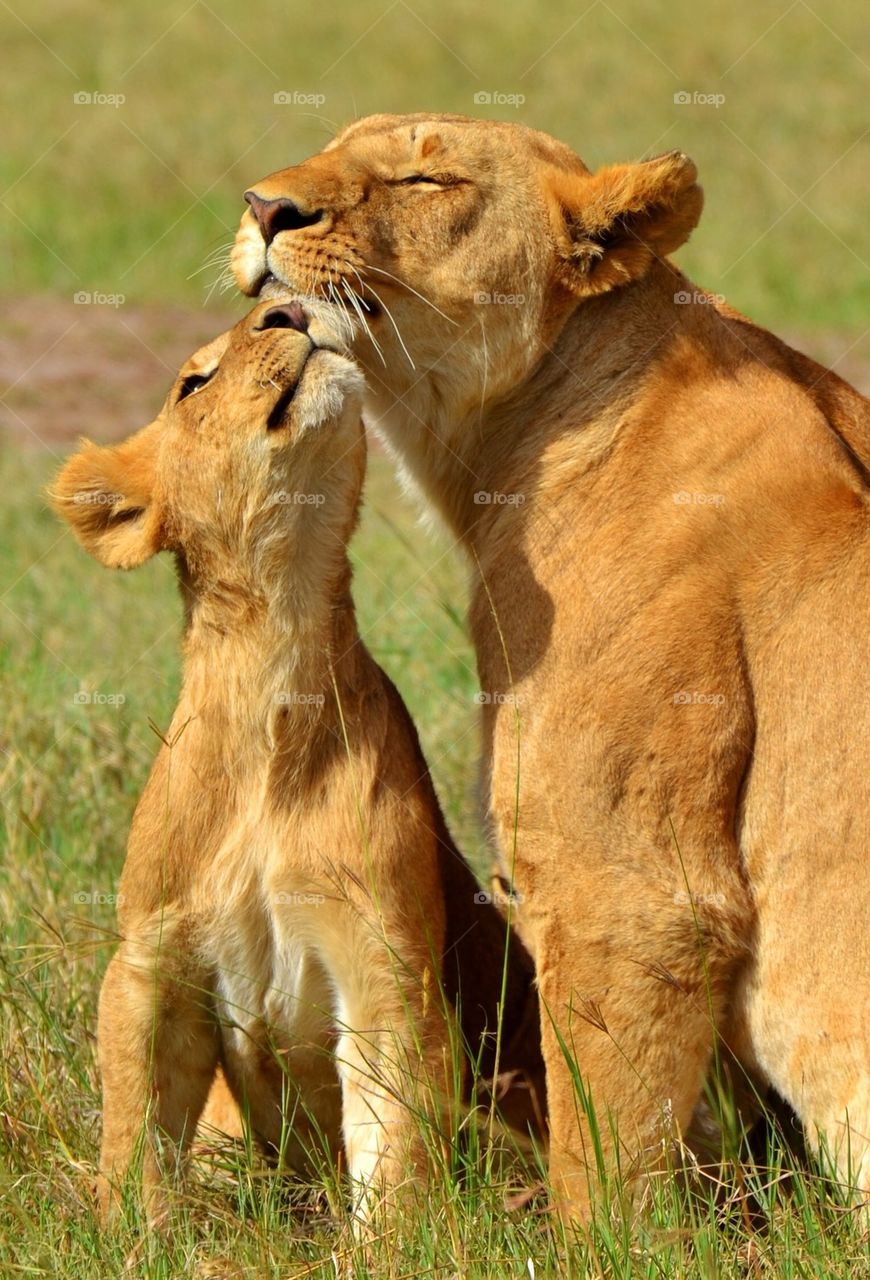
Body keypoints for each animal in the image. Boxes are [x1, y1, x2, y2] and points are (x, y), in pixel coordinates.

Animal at [52, 297, 542, 1229]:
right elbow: (134, 1137)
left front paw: (391, 1248)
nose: (284, 307)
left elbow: (395, 1156)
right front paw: (133, 1239)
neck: (275, 658)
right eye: (193, 382)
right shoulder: (148, 959)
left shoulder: (385, 966)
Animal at [233, 114, 870, 1222]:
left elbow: (601, 1152)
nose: (265, 207)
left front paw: (592, 1241)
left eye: (427, 178)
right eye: (332, 143)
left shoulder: (629, 891)